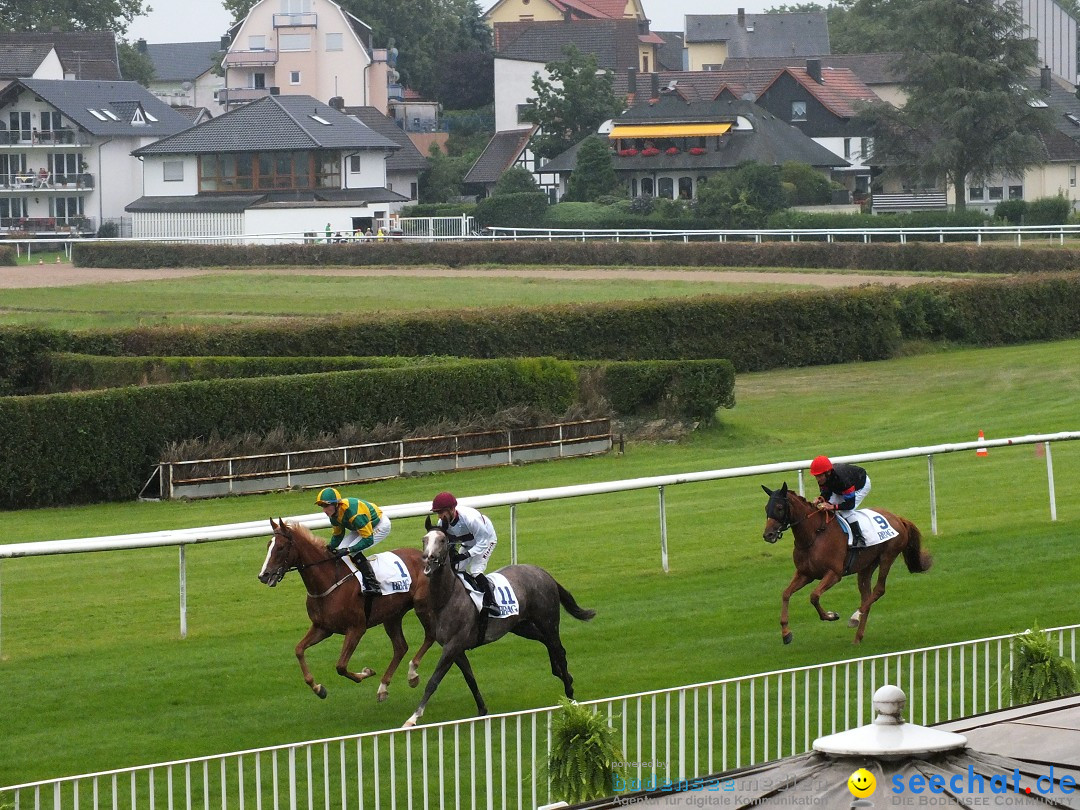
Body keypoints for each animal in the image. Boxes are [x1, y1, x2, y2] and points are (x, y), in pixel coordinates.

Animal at [257, 520, 434, 704]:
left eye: (281, 547)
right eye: (269, 545)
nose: (264, 575)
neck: (329, 582)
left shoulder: (356, 628)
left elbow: (340, 666)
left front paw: (366, 672)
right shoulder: (323, 627)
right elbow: (299, 650)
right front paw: (318, 688)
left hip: (422, 605)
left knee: (430, 636)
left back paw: (412, 674)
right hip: (392, 615)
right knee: (400, 647)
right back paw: (383, 687)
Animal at [760, 481, 928, 648]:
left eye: (779, 507)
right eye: (766, 508)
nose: (768, 535)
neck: (814, 535)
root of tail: (898, 518)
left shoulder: (834, 573)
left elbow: (814, 596)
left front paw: (830, 615)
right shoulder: (805, 574)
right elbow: (786, 594)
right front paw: (786, 633)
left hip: (887, 556)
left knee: (879, 590)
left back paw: (855, 617)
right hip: (866, 566)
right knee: (866, 596)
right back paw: (857, 637)